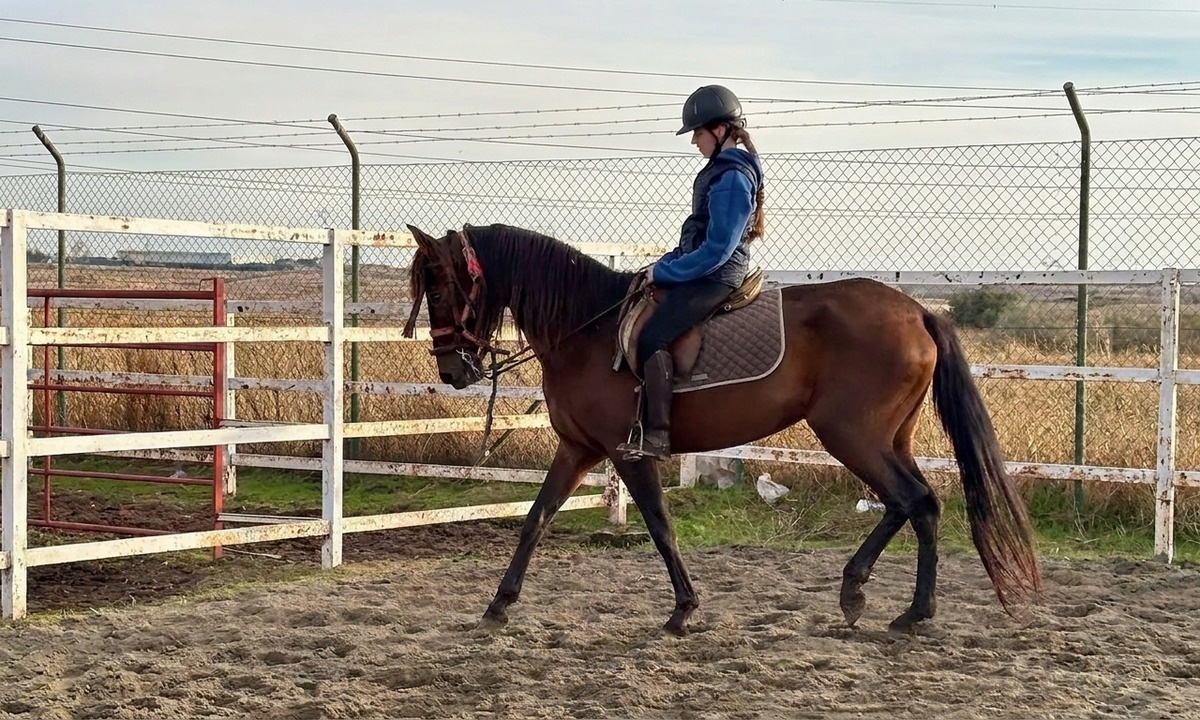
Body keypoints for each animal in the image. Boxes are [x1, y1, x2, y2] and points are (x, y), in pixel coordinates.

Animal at [402, 222, 1040, 636]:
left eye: (441, 286)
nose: (452, 371)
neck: (587, 330)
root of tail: (917, 310)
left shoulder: (628, 454)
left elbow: (661, 528)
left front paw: (683, 610)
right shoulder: (579, 448)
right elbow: (534, 520)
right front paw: (498, 605)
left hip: (852, 436)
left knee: (912, 500)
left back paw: (884, 601)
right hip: (888, 438)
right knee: (920, 504)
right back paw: (894, 604)